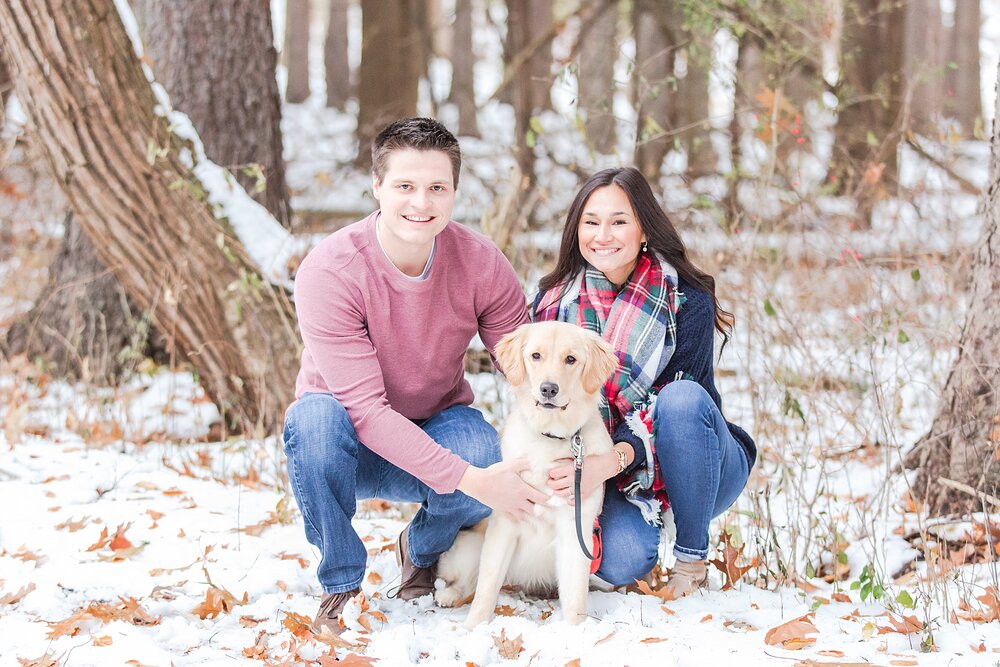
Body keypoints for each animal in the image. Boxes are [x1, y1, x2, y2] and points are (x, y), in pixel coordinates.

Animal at [436, 320, 616, 628]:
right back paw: (448, 595)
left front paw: (577, 632)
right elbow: (486, 588)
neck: (550, 436)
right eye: (536, 356)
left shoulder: (575, 529)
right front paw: (473, 628)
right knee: (468, 582)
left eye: (571, 359)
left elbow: (575, 596)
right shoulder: (504, 523)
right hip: (467, 548)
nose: (548, 389)